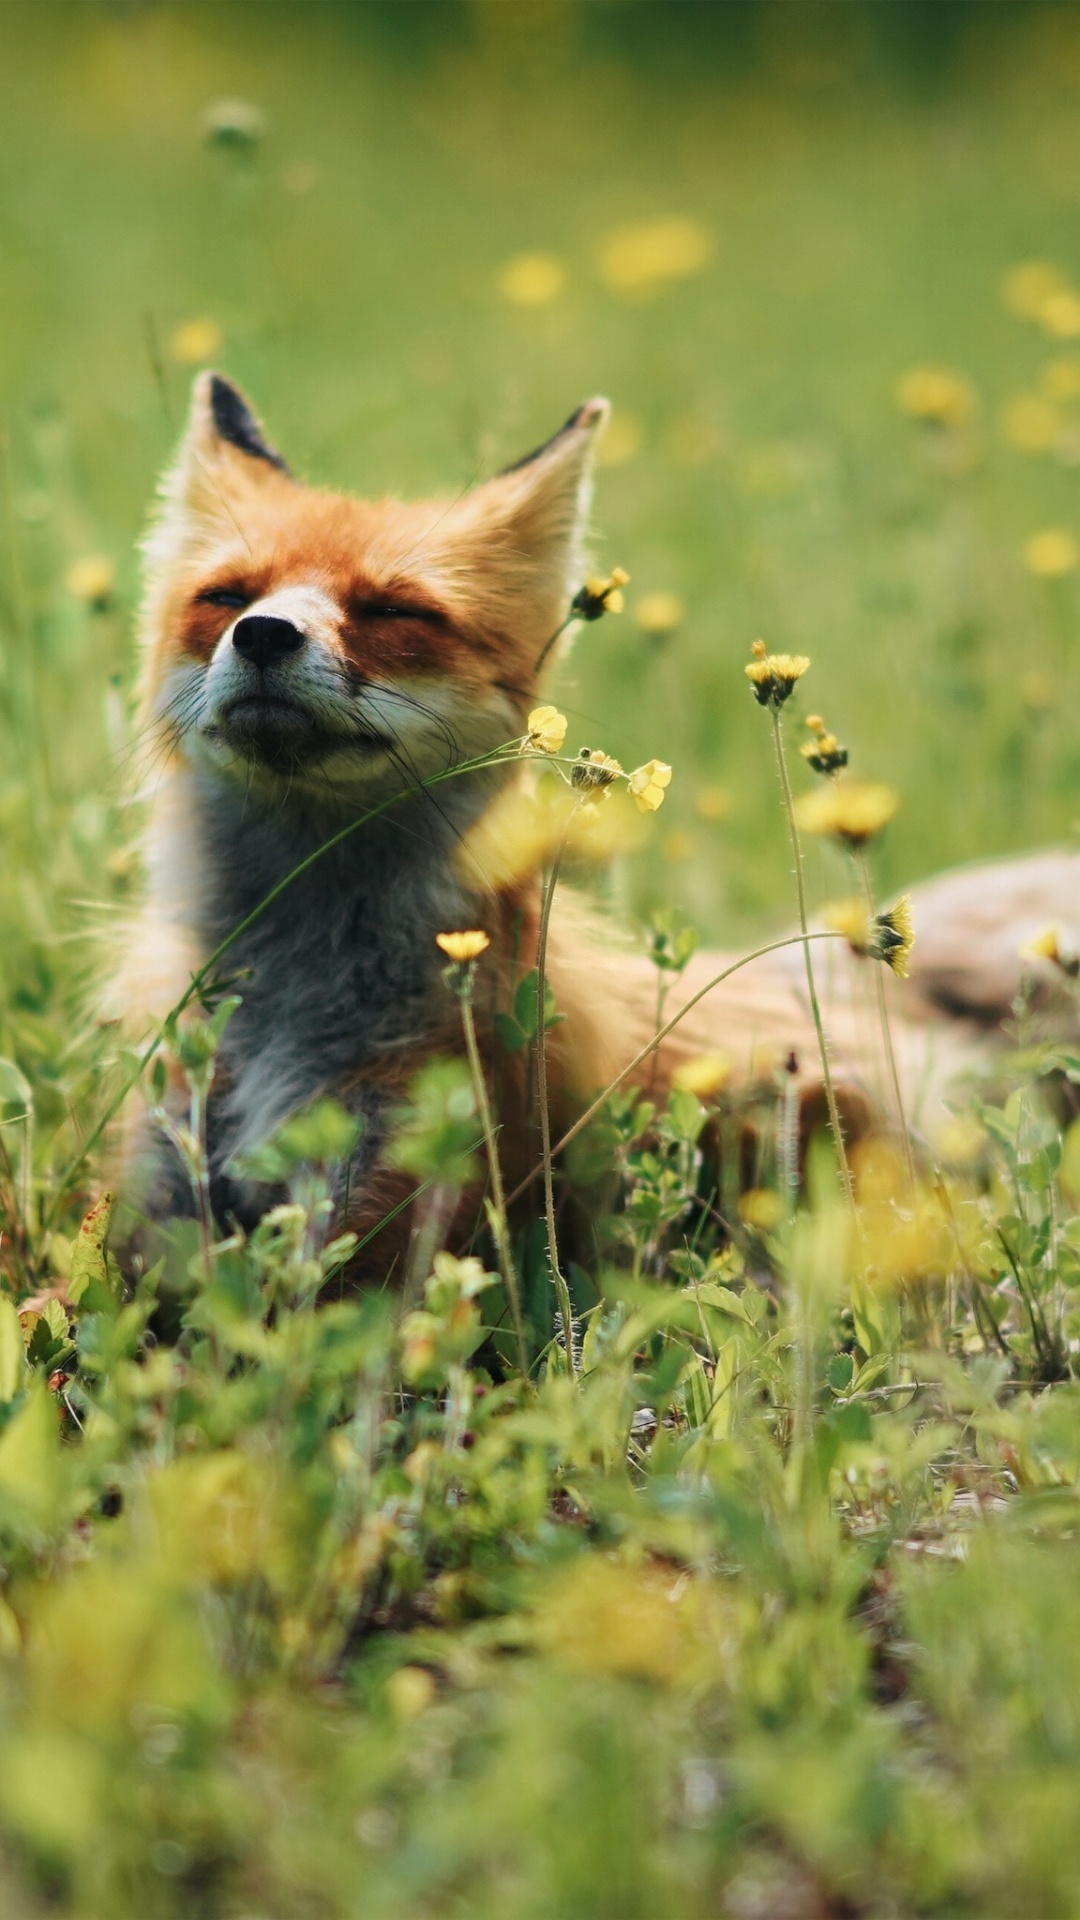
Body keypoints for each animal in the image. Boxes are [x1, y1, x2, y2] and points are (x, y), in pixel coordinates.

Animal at [113, 371, 1080, 1274]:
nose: (263, 634)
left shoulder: (411, 1197)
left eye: (396, 611)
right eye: (225, 597)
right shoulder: (163, 1177)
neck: (293, 1010)